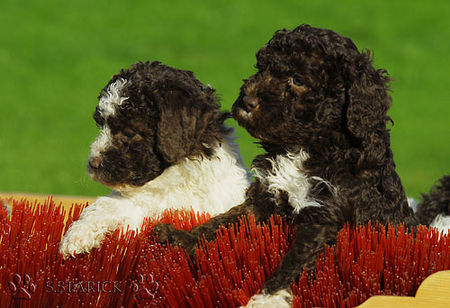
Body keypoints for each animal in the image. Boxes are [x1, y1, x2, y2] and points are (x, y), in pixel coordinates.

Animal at [154, 25, 446, 306]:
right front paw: (181, 237)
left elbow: (294, 261)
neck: (303, 147)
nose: (247, 101)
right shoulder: (266, 199)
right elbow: (227, 222)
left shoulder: (324, 217)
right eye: (262, 68)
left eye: (298, 80)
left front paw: (266, 298)